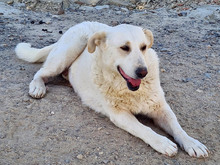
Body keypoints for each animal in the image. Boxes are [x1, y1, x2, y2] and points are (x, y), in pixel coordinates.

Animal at [15, 21, 208, 157]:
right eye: (125, 48)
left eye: (144, 47)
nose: (143, 72)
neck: (129, 90)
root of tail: (81, 23)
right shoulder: (119, 115)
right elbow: (144, 129)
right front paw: (162, 142)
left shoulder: (160, 108)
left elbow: (177, 127)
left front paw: (192, 143)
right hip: (68, 51)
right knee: (40, 72)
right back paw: (37, 87)